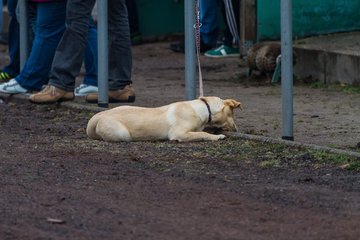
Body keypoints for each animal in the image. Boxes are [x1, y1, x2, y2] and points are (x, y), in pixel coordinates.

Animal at [87, 96, 242, 142]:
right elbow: (202, 133)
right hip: (122, 134)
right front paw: (218, 137)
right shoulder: (178, 133)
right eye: (232, 113)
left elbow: (201, 131)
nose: (236, 129)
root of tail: (99, 115)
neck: (204, 108)